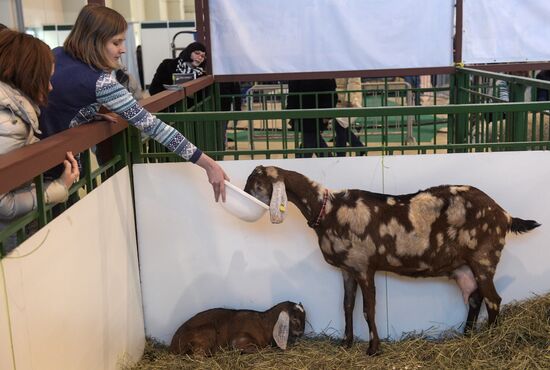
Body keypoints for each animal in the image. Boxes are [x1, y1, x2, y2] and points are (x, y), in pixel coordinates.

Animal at [170, 300, 306, 356]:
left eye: (305, 316)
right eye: (294, 318)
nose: (301, 333)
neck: (265, 325)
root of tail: (173, 346)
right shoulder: (239, 340)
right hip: (207, 330)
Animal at [246, 165, 544, 356]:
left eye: (256, 185)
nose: (245, 196)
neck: (328, 210)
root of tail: (504, 214)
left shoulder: (364, 266)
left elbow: (368, 310)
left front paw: (373, 349)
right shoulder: (347, 269)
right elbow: (346, 306)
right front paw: (346, 343)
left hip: (484, 259)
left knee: (494, 300)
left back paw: (490, 340)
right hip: (466, 266)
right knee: (475, 298)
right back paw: (467, 335)